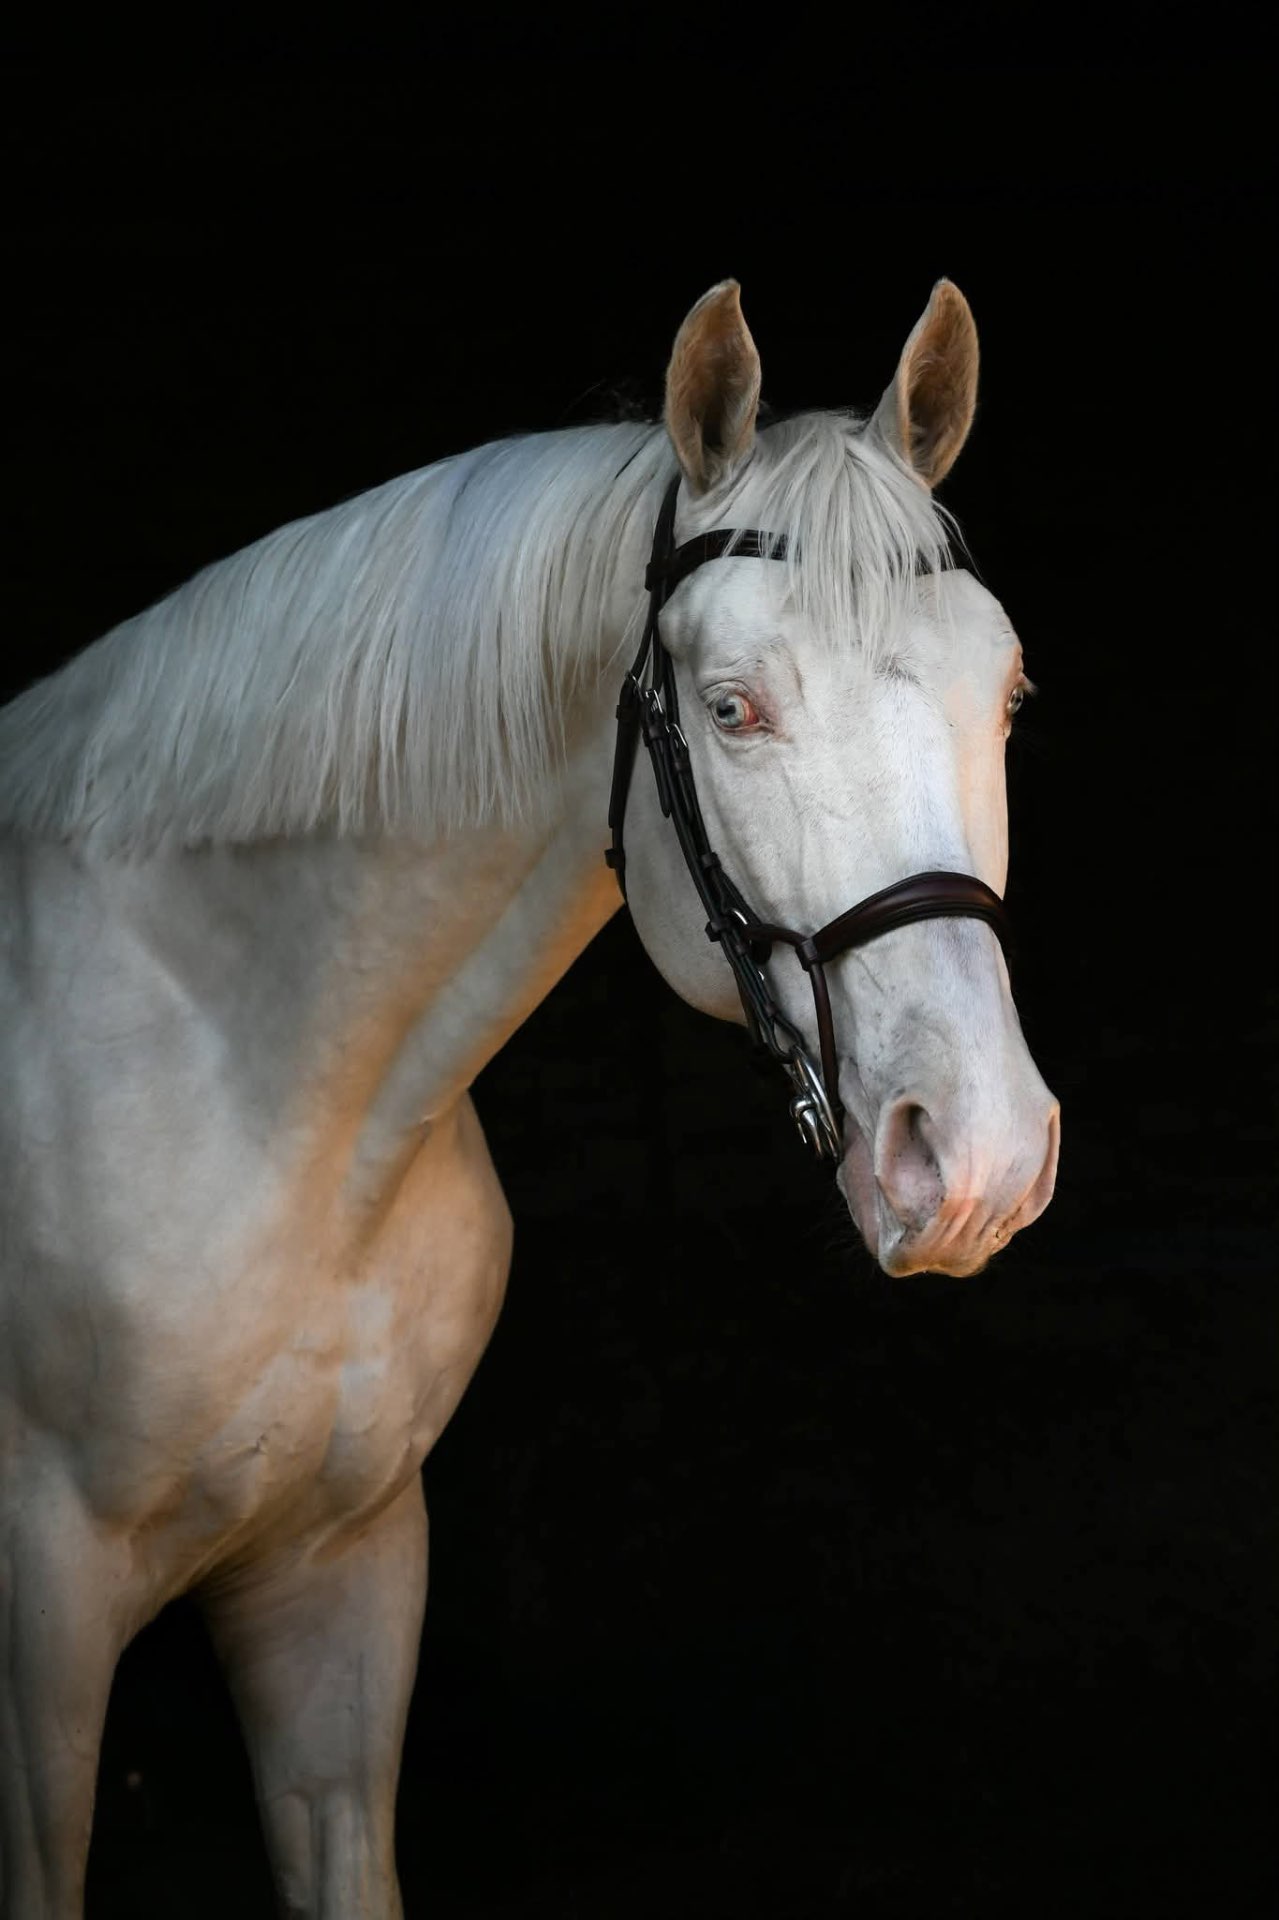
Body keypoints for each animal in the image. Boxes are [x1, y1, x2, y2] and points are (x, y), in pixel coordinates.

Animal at [0, 278, 1059, 1917]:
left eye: (1001, 692)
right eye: (732, 710)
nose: (978, 1158)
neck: (265, 1098)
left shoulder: (345, 1574)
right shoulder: (39, 1627)